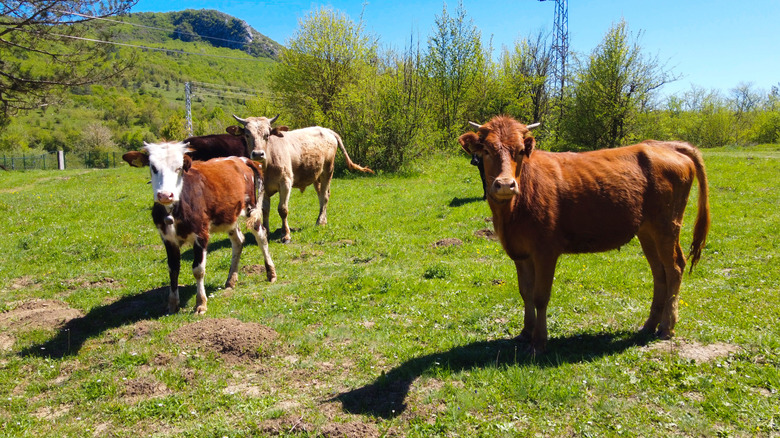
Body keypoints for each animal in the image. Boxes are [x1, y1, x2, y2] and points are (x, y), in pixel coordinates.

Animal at [122, 142, 278, 314]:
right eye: (153, 167)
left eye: (179, 168)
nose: (165, 195)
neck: (174, 210)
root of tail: (241, 159)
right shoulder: (167, 239)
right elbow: (173, 269)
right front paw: (173, 304)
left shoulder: (201, 235)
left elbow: (198, 270)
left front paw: (201, 303)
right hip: (229, 216)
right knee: (238, 241)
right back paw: (231, 280)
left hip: (251, 209)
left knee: (261, 236)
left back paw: (271, 273)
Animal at [229, 114, 374, 243]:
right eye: (247, 135)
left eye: (267, 135)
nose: (258, 154)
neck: (268, 164)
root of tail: (327, 130)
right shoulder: (262, 186)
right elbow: (265, 210)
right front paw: (266, 232)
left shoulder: (285, 183)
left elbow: (282, 209)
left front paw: (286, 235)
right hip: (316, 175)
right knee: (321, 196)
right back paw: (323, 220)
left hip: (328, 171)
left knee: (325, 196)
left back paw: (319, 221)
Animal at [460, 115, 708, 352]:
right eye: (486, 150)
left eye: (520, 150)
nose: (505, 184)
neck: (511, 212)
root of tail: (665, 145)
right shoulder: (520, 252)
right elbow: (526, 293)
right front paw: (525, 333)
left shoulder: (545, 251)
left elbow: (541, 296)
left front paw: (539, 342)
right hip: (647, 231)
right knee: (659, 272)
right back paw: (649, 325)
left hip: (667, 226)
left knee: (675, 267)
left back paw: (666, 327)